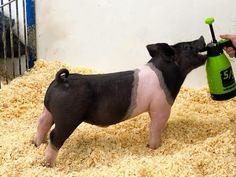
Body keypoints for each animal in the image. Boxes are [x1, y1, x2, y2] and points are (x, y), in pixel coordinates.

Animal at [32, 35, 206, 166]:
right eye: (187, 47)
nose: (201, 37)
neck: (165, 74)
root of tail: (60, 80)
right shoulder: (160, 107)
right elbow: (155, 128)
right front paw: (154, 147)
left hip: (48, 110)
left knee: (42, 123)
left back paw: (36, 144)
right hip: (68, 117)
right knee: (54, 135)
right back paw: (47, 164)